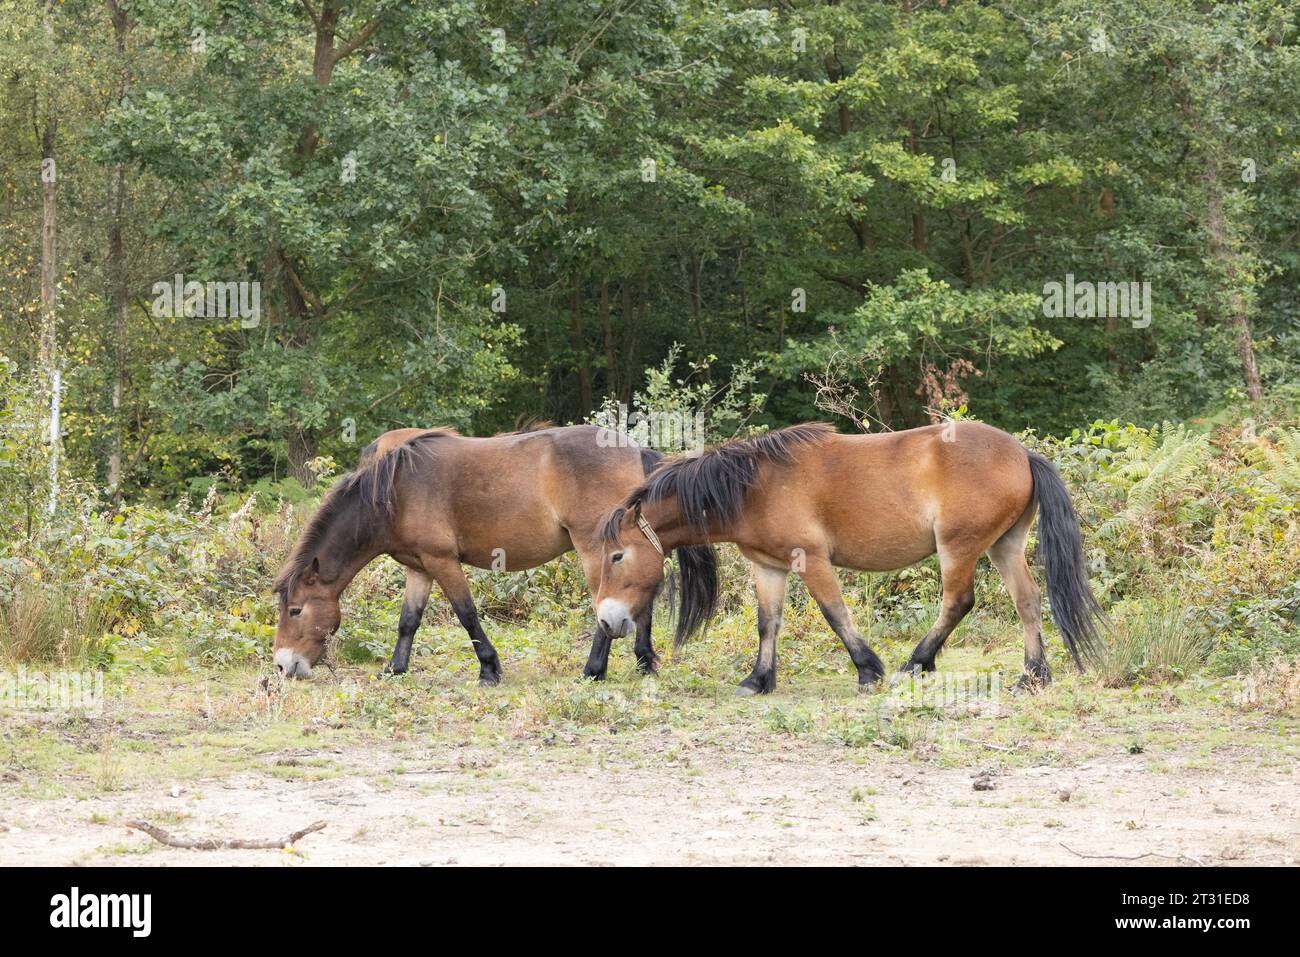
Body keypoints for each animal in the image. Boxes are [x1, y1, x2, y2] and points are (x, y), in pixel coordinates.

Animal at [273, 423, 717, 681]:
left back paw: (594, 670)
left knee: (607, 613)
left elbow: (466, 615)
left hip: (597, 550)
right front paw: (395, 669)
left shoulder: (442, 562)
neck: (394, 491)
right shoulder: (419, 567)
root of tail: (634, 450)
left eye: (295, 610)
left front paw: (488, 668)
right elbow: (408, 622)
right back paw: (643, 662)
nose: (282, 665)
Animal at [595, 421, 1102, 691]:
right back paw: (1032, 676)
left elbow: (835, 613)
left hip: (957, 548)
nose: (607, 620)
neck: (753, 486)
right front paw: (758, 680)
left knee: (958, 603)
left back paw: (913, 665)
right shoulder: (769, 566)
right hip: (1004, 546)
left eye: (617, 557)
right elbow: (767, 624)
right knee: (1028, 602)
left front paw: (868, 669)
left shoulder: (811, 560)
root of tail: (1022, 454)